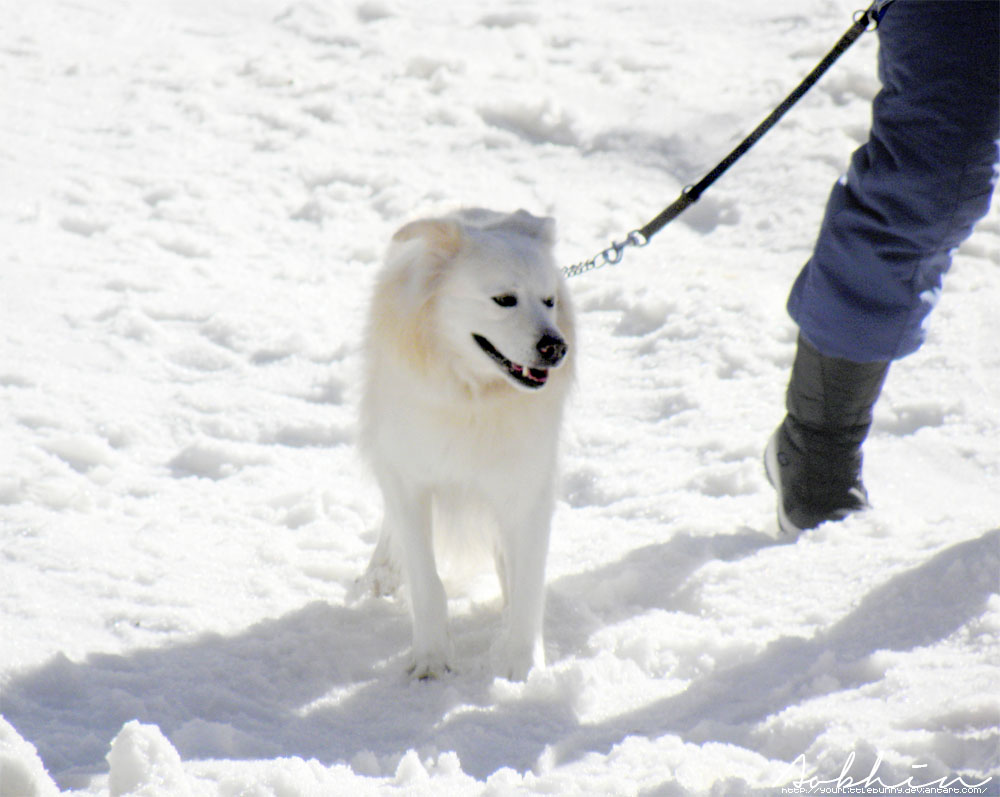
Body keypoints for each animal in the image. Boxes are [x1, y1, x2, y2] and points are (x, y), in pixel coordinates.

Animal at [360, 208, 580, 680]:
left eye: (549, 300)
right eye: (504, 299)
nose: (556, 347)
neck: (473, 397)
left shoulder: (527, 488)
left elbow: (528, 584)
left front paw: (522, 667)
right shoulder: (409, 478)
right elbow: (426, 580)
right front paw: (431, 659)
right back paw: (381, 572)